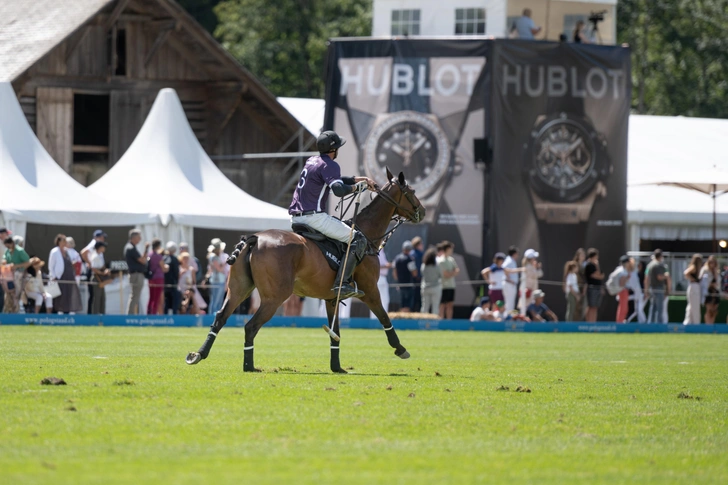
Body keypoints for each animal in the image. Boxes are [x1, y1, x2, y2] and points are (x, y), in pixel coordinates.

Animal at [185, 168, 426, 372]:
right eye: (412, 191)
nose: (422, 212)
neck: (367, 235)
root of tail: (255, 238)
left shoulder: (332, 298)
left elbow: (335, 333)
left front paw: (337, 367)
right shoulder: (370, 290)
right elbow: (384, 317)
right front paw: (400, 349)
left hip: (239, 288)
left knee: (220, 317)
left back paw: (199, 354)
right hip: (275, 296)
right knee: (250, 326)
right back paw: (249, 366)